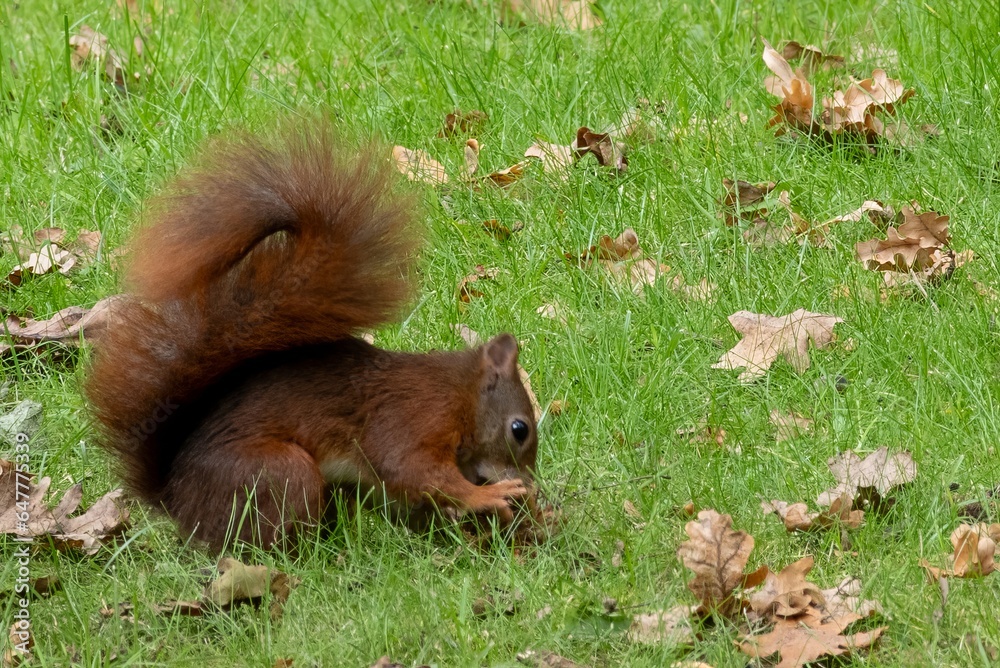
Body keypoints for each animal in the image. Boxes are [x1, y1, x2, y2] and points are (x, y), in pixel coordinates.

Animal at [85, 123, 538, 550]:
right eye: (520, 429)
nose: (531, 483)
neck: (461, 395)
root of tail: (177, 502)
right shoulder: (413, 419)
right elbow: (414, 470)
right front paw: (491, 496)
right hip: (281, 473)